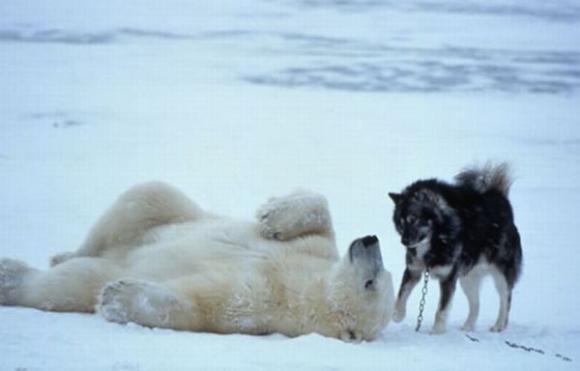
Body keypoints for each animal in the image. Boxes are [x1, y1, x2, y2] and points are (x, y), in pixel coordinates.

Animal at [0, 183, 394, 342]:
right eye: (382, 274)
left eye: (372, 282)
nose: (371, 240)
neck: (308, 287)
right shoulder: (316, 251)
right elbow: (320, 214)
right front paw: (272, 214)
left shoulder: (262, 301)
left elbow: (201, 302)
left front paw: (118, 297)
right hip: (161, 214)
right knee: (145, 198)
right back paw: (63, 253)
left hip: (106, 266)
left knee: (71, 283)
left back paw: (11, 277)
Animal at [388, 163, 524, 334]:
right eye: (401, 223)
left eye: (414, 220)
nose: (404, 241)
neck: (435, 241)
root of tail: (500, 198)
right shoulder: (413, 270)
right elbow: (401, 294)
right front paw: (396, 315)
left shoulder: (448, 278)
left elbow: (441, 311)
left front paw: (436, 332)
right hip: (467, 278)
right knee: (476, 304)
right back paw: (467, 327)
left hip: (501, 274)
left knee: (506, 298)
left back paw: (499, 325)